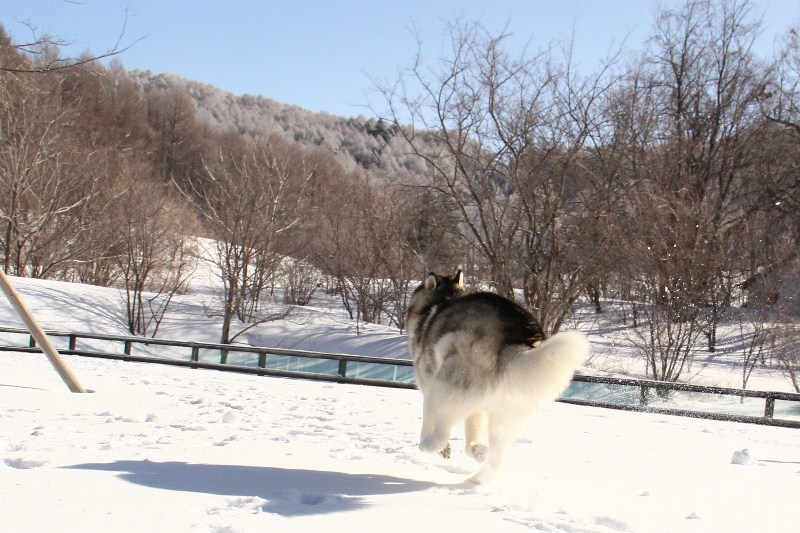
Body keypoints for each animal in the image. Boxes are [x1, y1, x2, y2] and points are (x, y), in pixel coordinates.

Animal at [406, 270, 588, 482]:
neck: (445, 298)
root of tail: (512, 341)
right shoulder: (477, 410)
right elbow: (472, 438)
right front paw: (477, 450)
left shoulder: (428, 389)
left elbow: (429, 424)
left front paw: (442, 448)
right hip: (506, 417)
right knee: (497, 458)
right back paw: (475, 480)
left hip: (443, 387)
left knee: (441, 434)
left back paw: (431, 446)